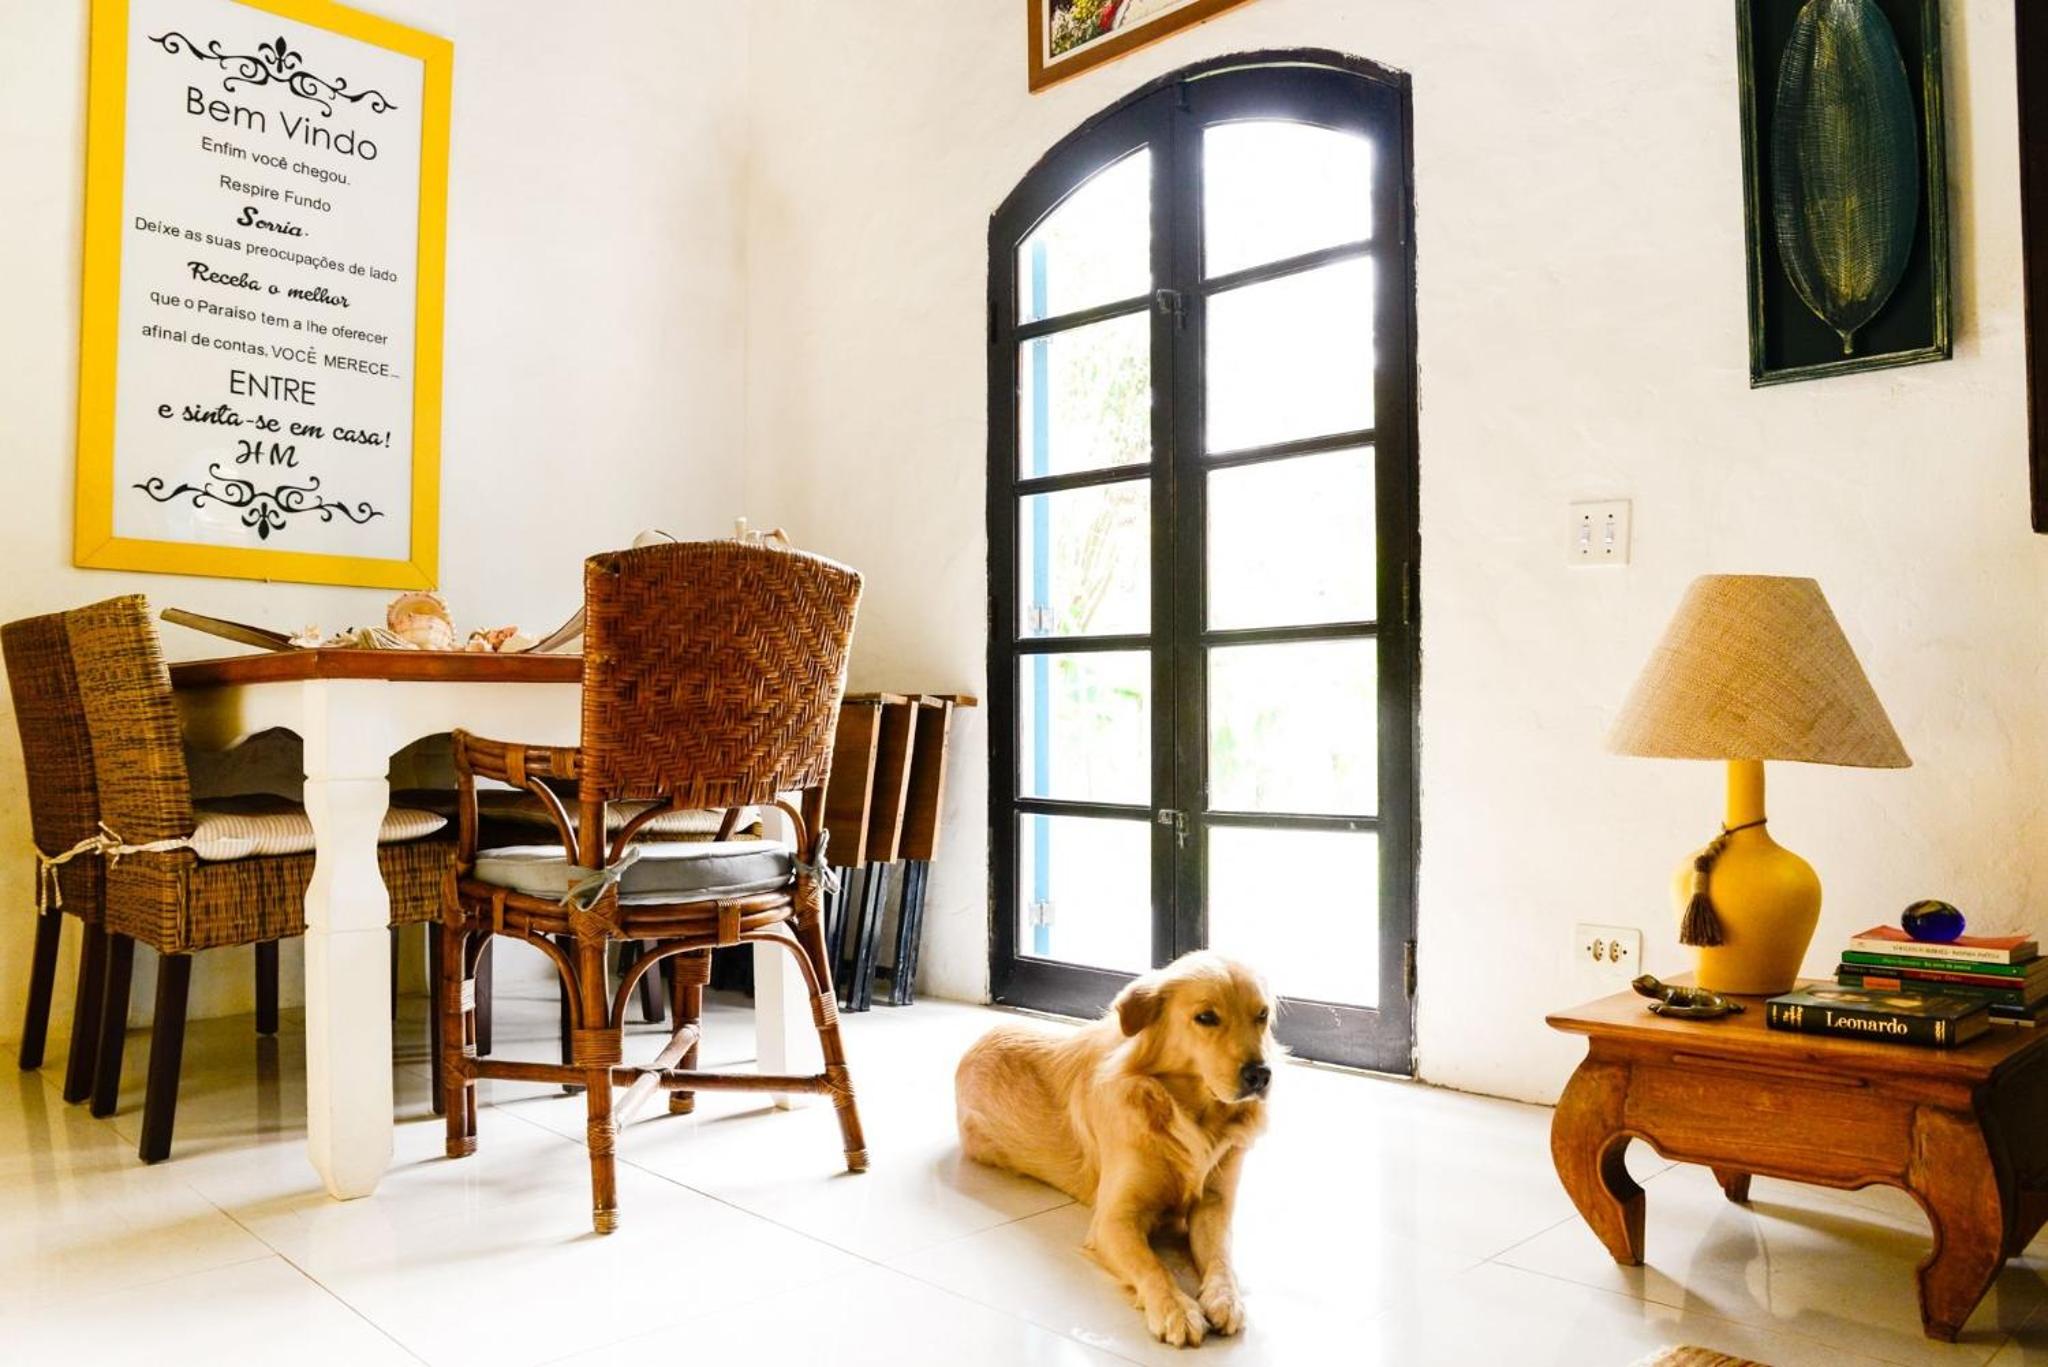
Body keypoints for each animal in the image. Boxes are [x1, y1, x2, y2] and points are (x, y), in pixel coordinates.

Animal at [954, 952, 1275, 1347]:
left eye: (1261, 1014)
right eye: (1206, 1017)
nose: (1260, 1075)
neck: (1186, 1114)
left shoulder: (1215, 1203)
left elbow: (1221, 1255)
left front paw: (1225, 1298)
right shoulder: (1113, 1220)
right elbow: (1153, 1265)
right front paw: (1175, 1307)